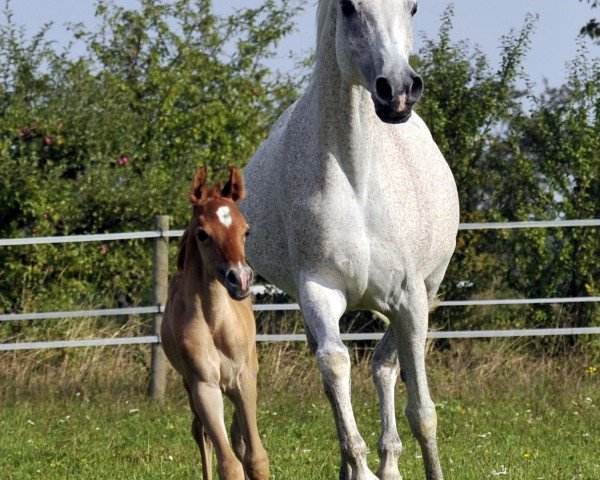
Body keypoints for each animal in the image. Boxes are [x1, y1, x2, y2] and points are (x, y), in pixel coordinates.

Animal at [162, 166, 270, 480]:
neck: (213, 321)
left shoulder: (244, 380)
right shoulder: (204, 386)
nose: (240, 279)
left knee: (238, 436)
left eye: (246, 230)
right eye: (203, 234)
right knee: (202, 434)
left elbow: (256, 458)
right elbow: (228, 465)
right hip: (191, 386)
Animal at [241, 1, 458, 478]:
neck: (357, 179)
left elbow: (422, 411)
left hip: (425, 290)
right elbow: (334, 364)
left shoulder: (410, 299)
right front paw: (358, 467)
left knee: (384, 366)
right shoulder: (317, 290)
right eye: (348, 7)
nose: (398, 90)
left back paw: (391, 462)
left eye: (413, 7)